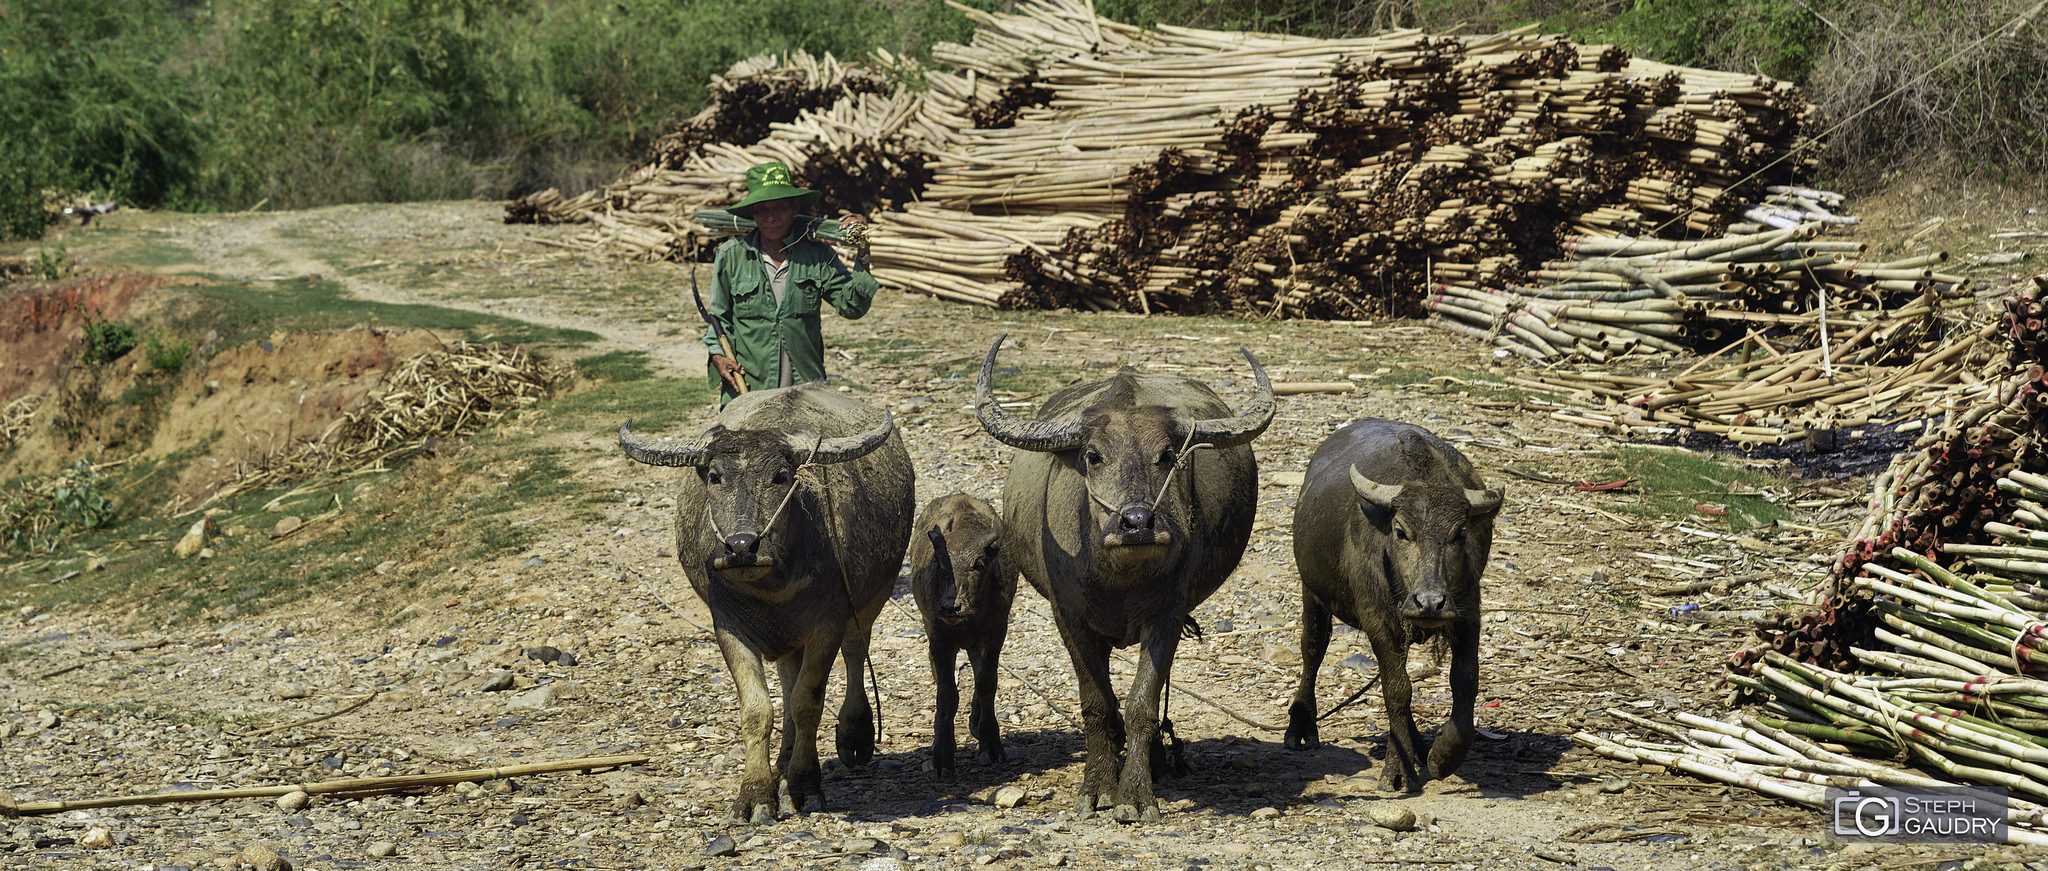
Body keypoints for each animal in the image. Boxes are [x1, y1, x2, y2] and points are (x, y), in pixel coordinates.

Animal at [614, 381, 913, 819]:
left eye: (781, 476)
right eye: (715, 476)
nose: (741, 546)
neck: (772, 584)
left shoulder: (828, 623)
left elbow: (808, 702)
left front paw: (805, 785)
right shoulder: (727, 626)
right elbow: (759, 709)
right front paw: (756, 792)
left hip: (874, 595)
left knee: (856, 652)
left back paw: (852, 736)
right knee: (788, 680)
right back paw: (784, 763)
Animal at [905, 491, 1015, 778]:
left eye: (979, 563)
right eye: (940, 563)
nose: (950, 606)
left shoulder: (995, 635)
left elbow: (987, 684)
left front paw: (990, 744)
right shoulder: (940, 640)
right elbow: (947, 694)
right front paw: (942, 755)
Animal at [970, 336, 1269, 819]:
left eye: (1166, 456)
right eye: (1093, 456)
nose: (1137, 523)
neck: (1121, 577)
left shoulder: (1167, 616)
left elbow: (1140, 704)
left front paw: (1134, 795)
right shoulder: (1069, 617)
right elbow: (1097, 705)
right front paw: (1096, 788)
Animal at [1286, 418, 1499, 791]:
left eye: (1459, 534)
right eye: (1401, 532)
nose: (1429, 603)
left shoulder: (1467, 613)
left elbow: (1465, 680)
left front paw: (1444, 756)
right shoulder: (1378, 620)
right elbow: (1397, 690)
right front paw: (1397, 770)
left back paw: (1417, 746)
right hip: (1312, 591)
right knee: (1313, 648)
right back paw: (1300, 727)